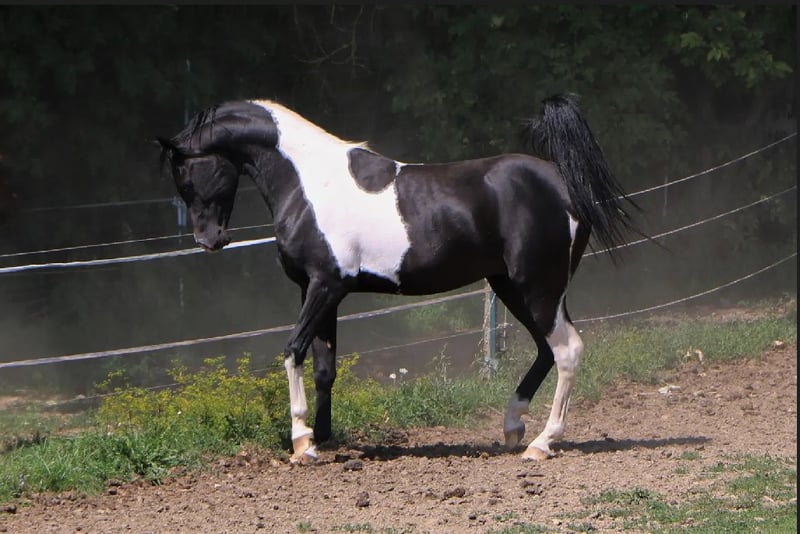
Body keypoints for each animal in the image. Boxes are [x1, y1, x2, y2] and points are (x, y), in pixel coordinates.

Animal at [157, 94, 638, 463]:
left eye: (185, 172)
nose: (209, 239)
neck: (309, 183)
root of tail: (563, 182)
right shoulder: (320, 291)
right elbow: (324, 367)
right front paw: (325, 437)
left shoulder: (325, 285)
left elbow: (293, 351)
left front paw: (302, 442)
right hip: (514, 288)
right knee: (545, 349)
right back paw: (512, 426)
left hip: (538, 288)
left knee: (568, 350)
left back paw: (541, 443)